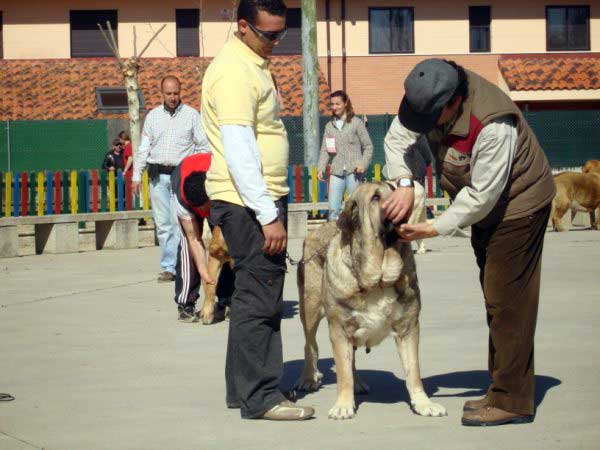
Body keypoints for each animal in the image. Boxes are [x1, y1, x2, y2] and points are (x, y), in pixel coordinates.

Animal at [296, 181, 446, 420]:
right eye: (376, 197)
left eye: (395, 189)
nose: (403, 202)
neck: (379, 279)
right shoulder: (339, 328)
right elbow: (342, 372)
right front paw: (343, 406)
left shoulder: (408, 328)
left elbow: (413, 370)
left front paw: (424, 403)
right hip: (310, 309)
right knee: (310, 345)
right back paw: (309, 378)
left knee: (351, 360)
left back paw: (357, 384)